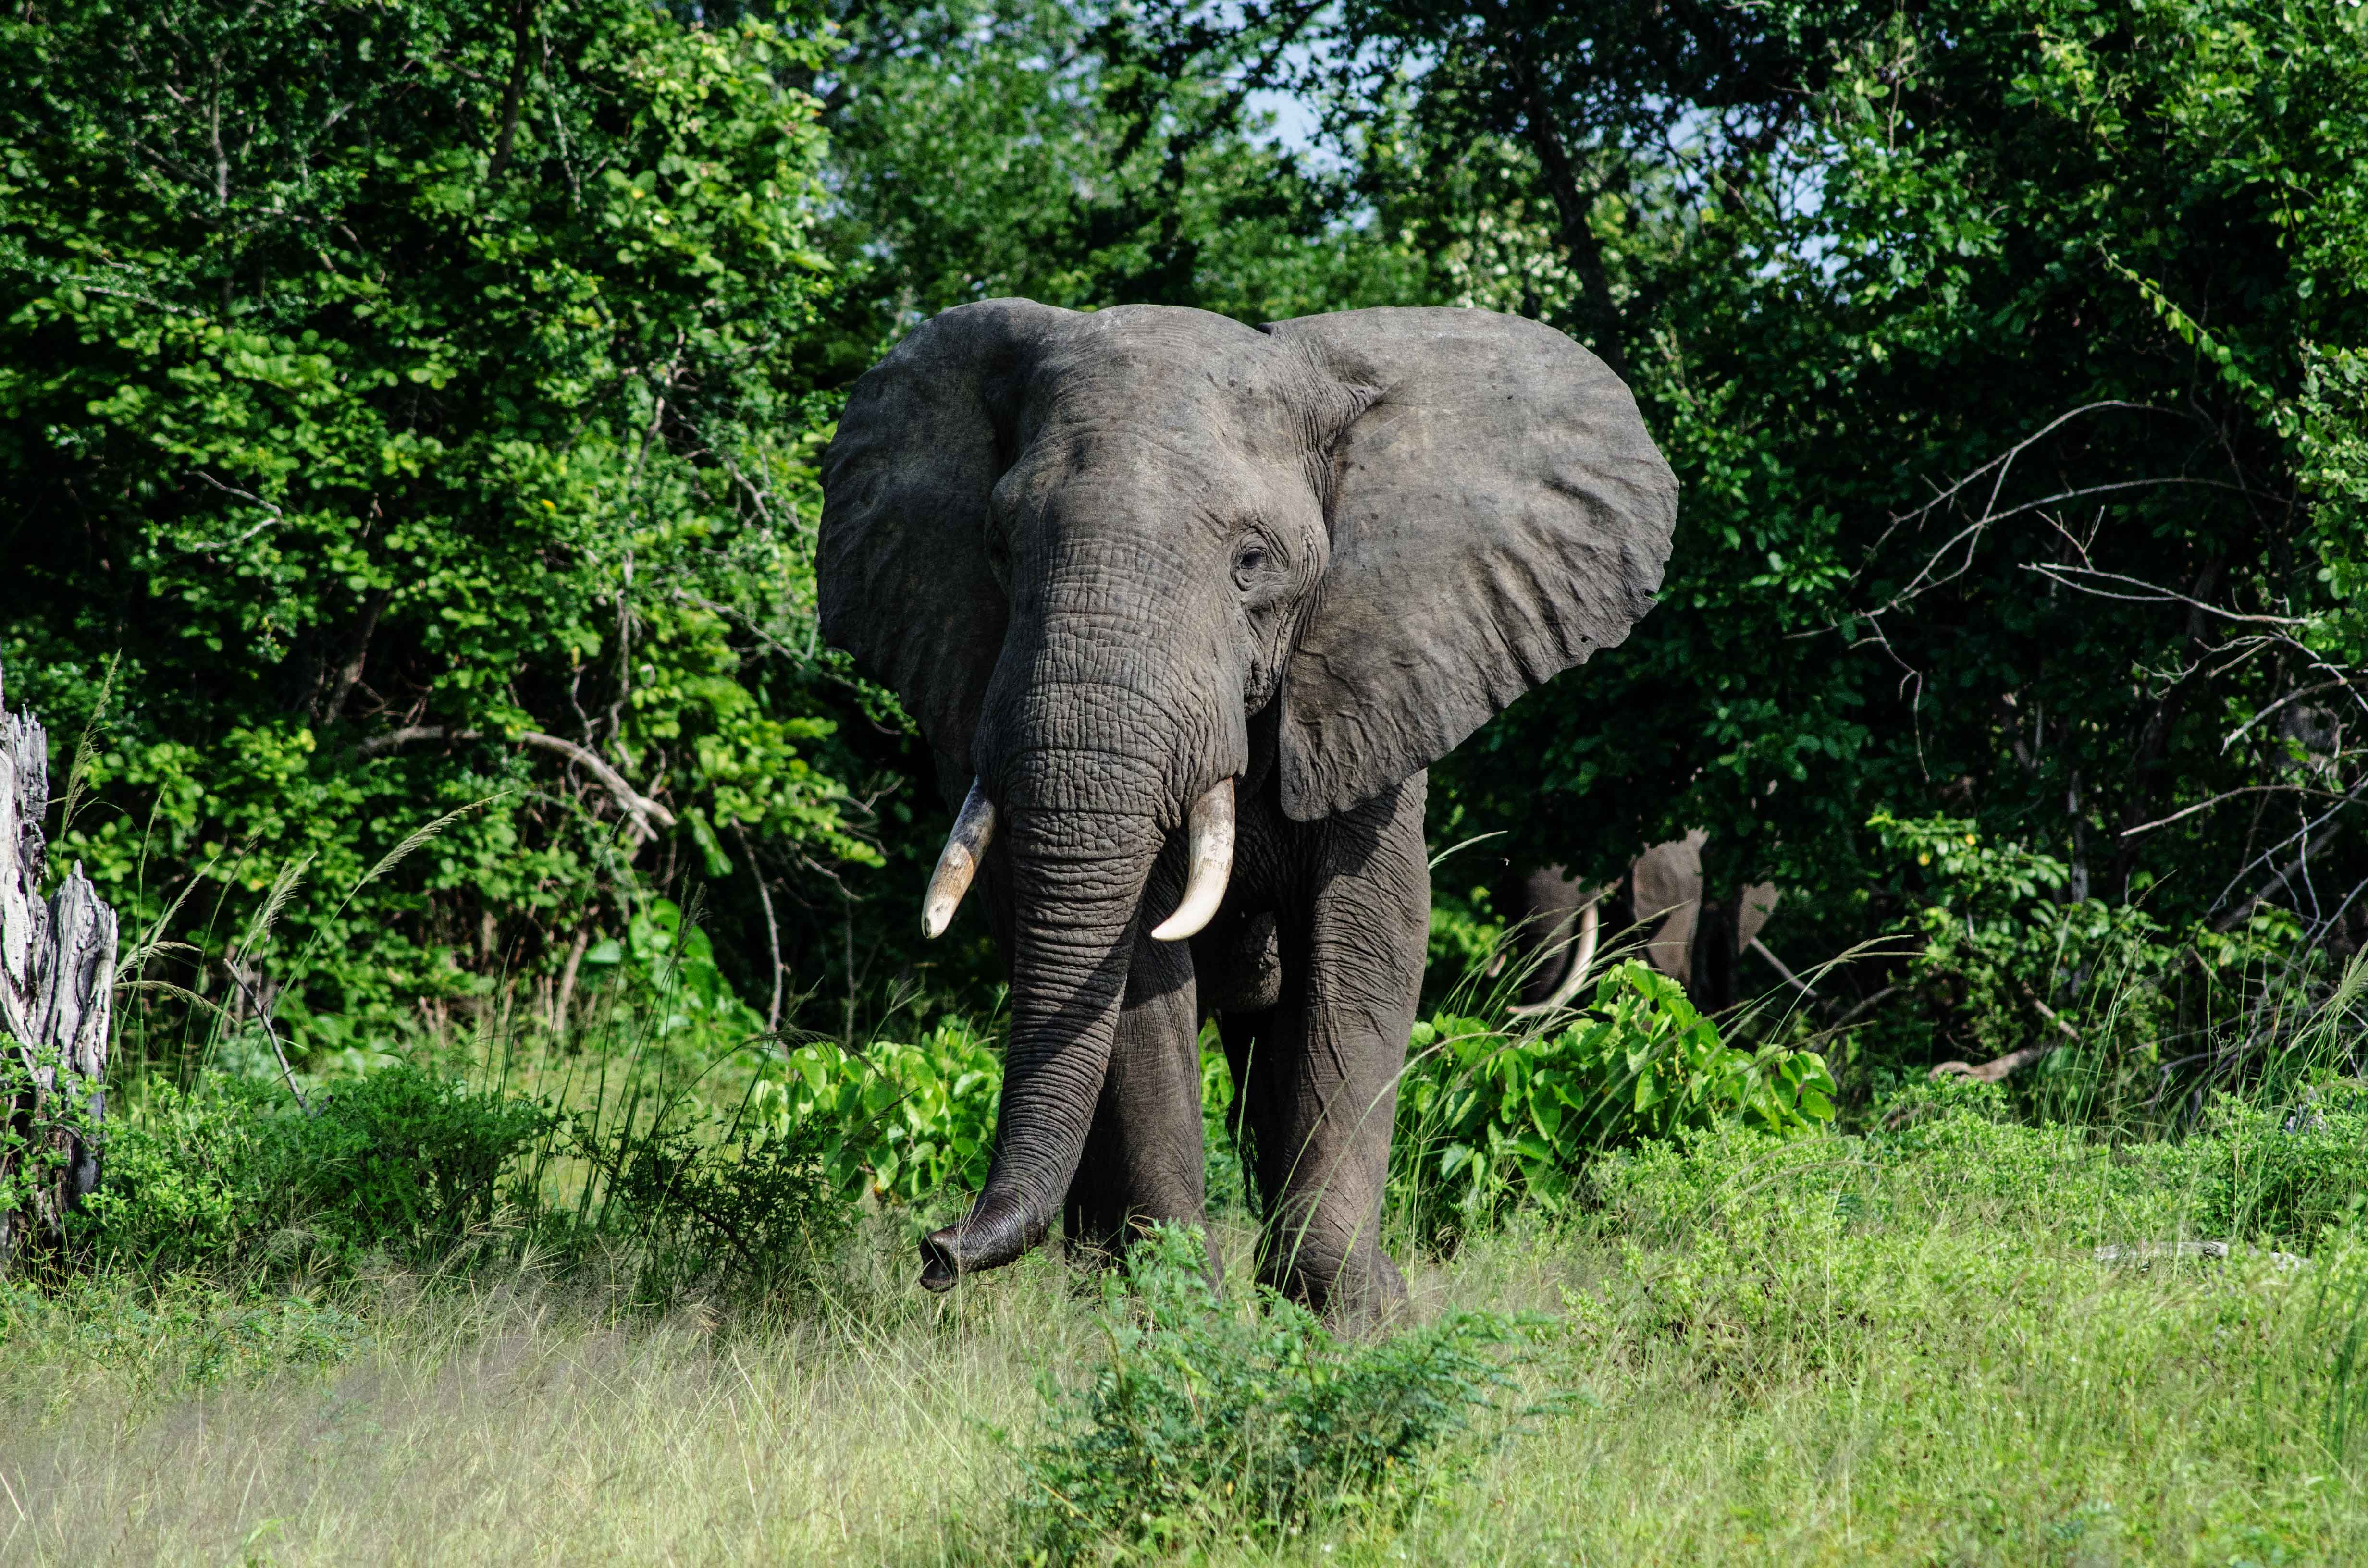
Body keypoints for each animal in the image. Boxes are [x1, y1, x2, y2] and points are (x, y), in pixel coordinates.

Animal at [824, 298, 1677, 1326]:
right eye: (997, 548)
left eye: (1250, 562)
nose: (936, 1250)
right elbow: (1135, 972)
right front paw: (1169, 1310)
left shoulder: (1374, 679)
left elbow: (1366, 950)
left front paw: (1351, 1318)